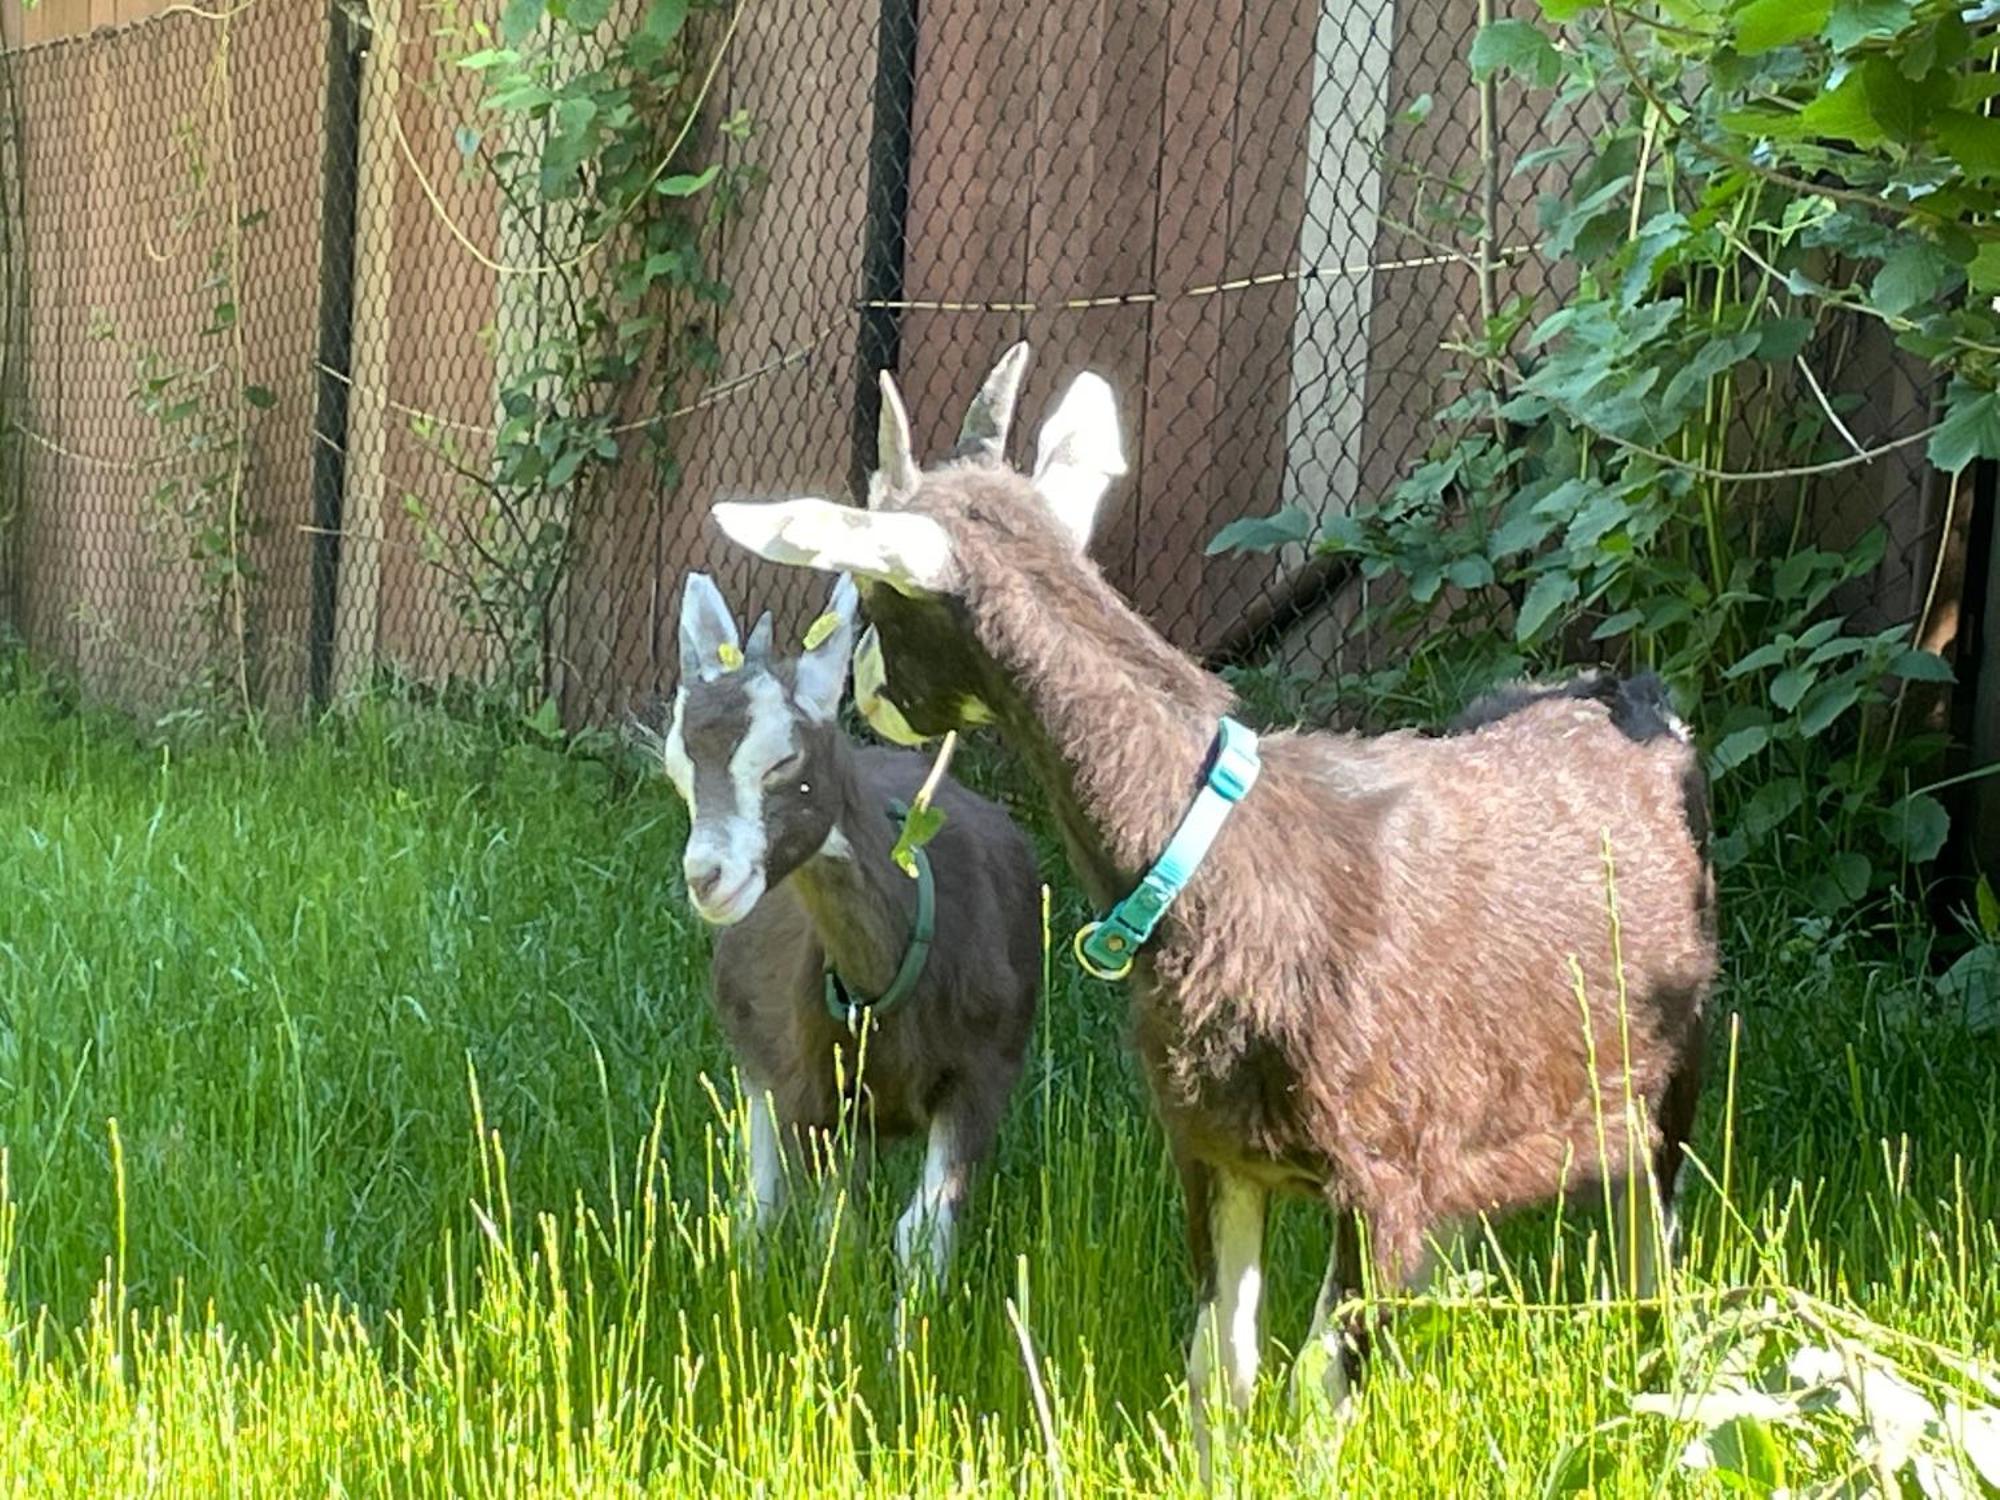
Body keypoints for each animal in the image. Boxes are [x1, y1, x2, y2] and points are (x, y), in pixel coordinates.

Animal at [652, 576, 1048, 1304]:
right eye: (678, 769)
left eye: (783, 761)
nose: (708, 878)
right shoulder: (815, 1088)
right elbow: (836, 1229)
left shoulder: (983, 1074)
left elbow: (920, 1229)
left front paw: (909, 1332)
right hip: (761, 1065)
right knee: (760, 1199)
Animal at [708, 352, 1720, 1456]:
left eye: (875, 599)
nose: (871, 697)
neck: (1215, 861)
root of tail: (1636, 701)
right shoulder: (1213, 1149)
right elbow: (1220, 1371)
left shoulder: (1383, 1169)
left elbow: (1317, 1389)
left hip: (1668, 1073)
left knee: (1655, 1261)